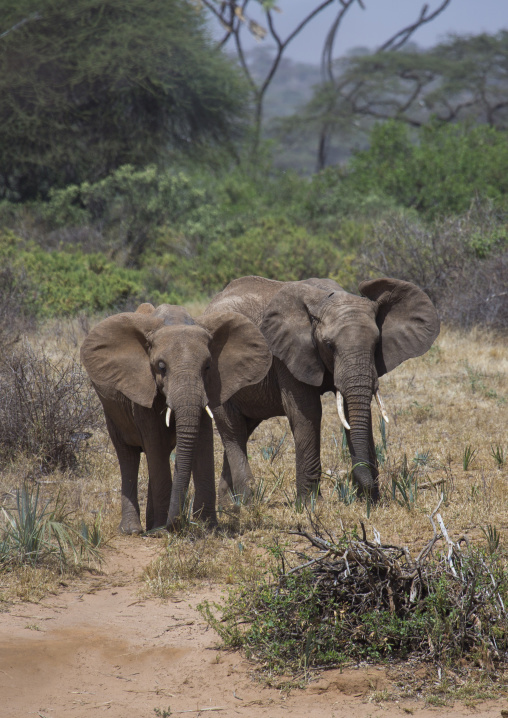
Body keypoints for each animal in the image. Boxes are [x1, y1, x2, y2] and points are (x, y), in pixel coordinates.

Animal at [80, 302, 272, 533]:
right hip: (111, 409)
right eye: (161, 367)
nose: (178, 522)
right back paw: (135, 530)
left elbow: (202, 441)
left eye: (208, 366)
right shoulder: (143, 388)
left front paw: (207, 527)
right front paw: (162, 531)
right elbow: (155, 444)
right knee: (129, 455)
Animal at [205, 275, 440, 503]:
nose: (363, 487)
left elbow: (353, 411)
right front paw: (311, 505)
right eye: (329, 346)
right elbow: (308, 411)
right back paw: (246, 502)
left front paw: (370, 501)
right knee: (233, 430)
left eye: (376, 344)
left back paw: (230, 505)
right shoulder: (286, 357)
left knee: (243, 430)